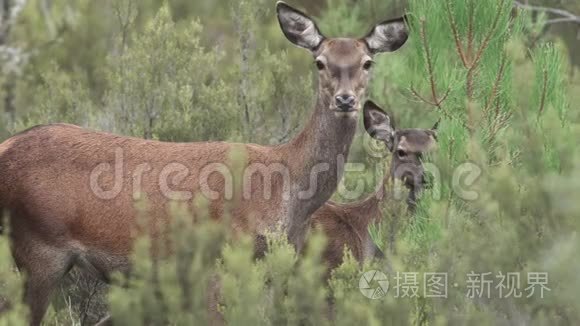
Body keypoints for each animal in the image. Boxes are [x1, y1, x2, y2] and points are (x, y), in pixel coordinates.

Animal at [0, 1, 408, 324]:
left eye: (367, 62)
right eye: (320, 62)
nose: (345, 99)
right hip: (39, 247)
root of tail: (6, 145)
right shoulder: (220, 261)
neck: (288, 190)